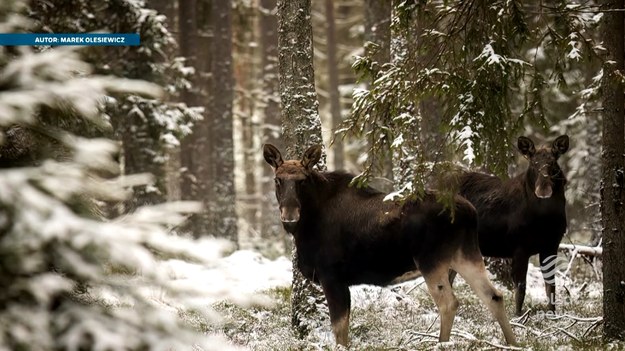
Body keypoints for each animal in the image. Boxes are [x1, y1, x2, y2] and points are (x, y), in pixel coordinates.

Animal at [260, 144, 516, 348]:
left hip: (430, 260)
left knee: (449, 303)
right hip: (465, 255)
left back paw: (441, 344)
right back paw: (513, 343)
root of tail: (470, 211)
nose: (289, 215)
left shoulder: (332, 276)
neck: (306, 226)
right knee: (494, 296)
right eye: (277, 180)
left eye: (302, 181)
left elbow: (340, 330)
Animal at [456, 135, 568, 316]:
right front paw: (518, 316)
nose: (543, 190)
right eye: (533, 163)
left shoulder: (551, 245)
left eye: (553, 163)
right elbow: (520, 288)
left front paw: (553, 315)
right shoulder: (520, 247)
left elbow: (551, 286)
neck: (545, 220)